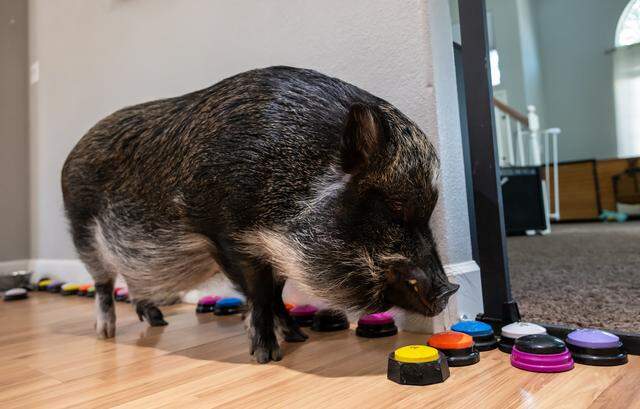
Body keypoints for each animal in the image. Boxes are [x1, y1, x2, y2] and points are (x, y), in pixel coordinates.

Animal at [61, 66, 459, 363]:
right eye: (395, 207)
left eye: (426, 211)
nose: (450, 288)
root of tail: (72, 153)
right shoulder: (227, 236)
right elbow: (261, 293)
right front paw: (267, 356)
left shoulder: (274, 251)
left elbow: (277, 295)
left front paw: (297, 338)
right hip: (83, 234)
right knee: (103, 283)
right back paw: (105, 334)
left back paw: (159, 323)